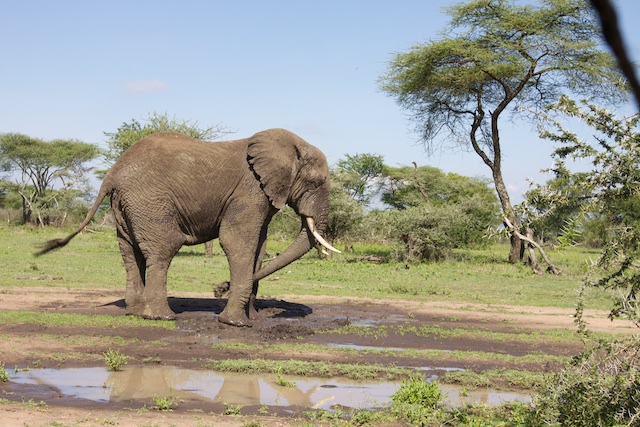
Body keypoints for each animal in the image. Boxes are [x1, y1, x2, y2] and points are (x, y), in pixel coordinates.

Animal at [37, 129, 340, 326]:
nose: (218, 289)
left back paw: (135, 313)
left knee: (130, 253)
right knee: (162, 250)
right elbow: (237, 243)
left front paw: (249, 317)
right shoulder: (249, 191)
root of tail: (112, 173)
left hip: (124, 207)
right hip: (149, 201)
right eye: (314, 183)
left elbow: (260, 247)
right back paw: (161, 316)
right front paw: (235, 323)